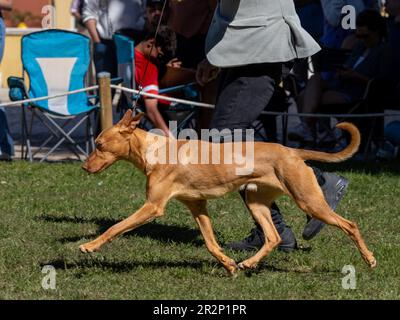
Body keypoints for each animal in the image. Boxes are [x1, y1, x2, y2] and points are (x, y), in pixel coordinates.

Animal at [80, 110, 376, 276]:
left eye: (99, 144)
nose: (83, 167)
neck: (156, 151)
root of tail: (292, 151)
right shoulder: (197, 206)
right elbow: (211, 244)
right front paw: (229, 265)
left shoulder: (153, 206)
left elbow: (116, 227)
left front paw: (90, 245)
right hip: (257, 202)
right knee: (273, 237)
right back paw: (248, 264)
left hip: (308, 201)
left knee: (350, 224)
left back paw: (370, 259)